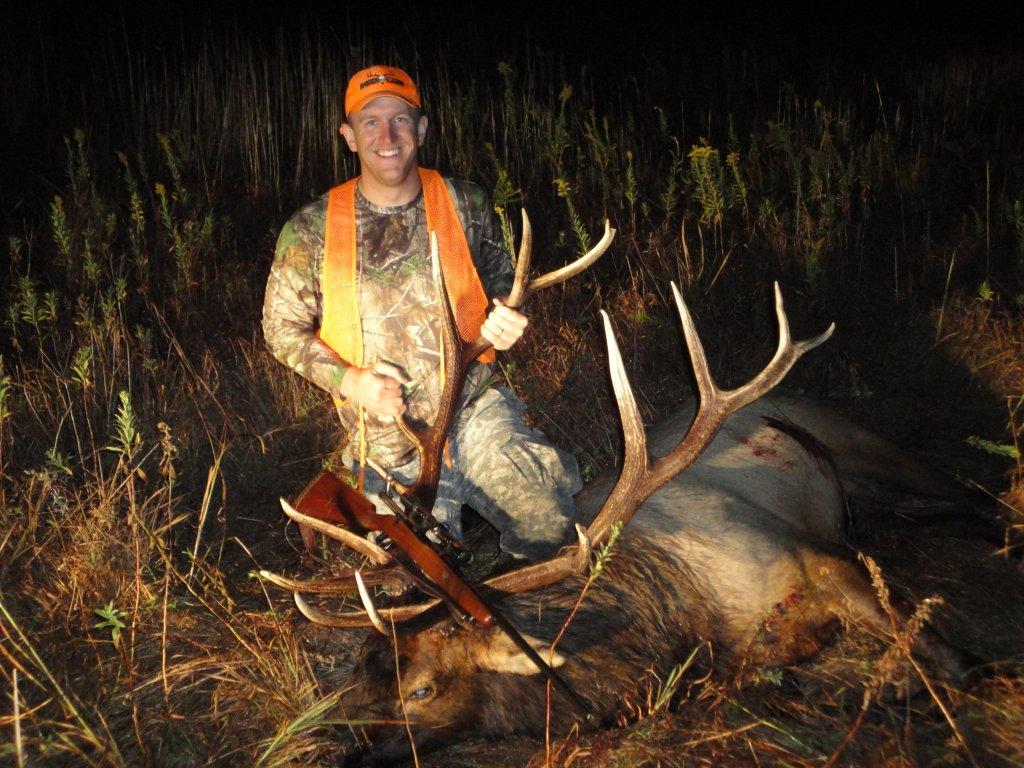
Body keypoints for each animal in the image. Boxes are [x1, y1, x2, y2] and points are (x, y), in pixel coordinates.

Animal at [260, 213, 974, 765]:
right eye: (358, 673)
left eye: (422, 690)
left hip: (874, 448)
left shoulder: (818, 560)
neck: (684, 622)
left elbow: (944, 662)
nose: (337, 748)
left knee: (955, 492)